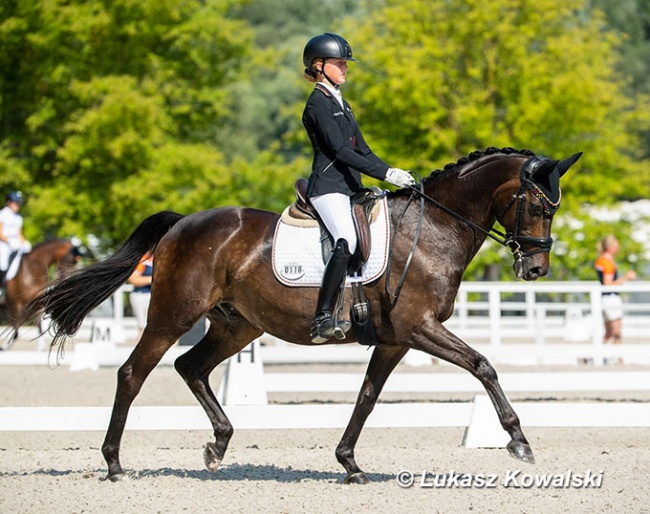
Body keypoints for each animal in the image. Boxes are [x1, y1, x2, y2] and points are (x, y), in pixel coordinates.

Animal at [19, 147, 576, 480]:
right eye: (539, 206)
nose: (536, 268)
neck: (433, 231)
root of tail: (183, 223)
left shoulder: (396, 339)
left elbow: (367, 398)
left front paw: (349, 464)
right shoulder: (420, 327)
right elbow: (483, 365)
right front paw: (518, 441)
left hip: (237, 324)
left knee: (190, 366)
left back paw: (218, 446)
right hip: (172, 315)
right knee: (133, 373)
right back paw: (115, 464)